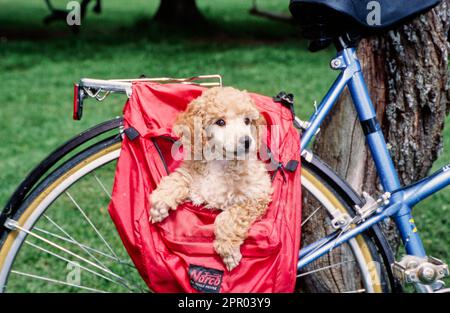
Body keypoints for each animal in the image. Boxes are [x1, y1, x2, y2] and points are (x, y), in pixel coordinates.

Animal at [149, 86, 272, 270]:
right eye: (220, 122)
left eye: (247, 121)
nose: (247, 141)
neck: (219, 162)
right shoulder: (191, 173)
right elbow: (177, 179)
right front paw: (159, 204)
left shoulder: (257, 195)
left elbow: (228, 217)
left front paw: (228, 251)